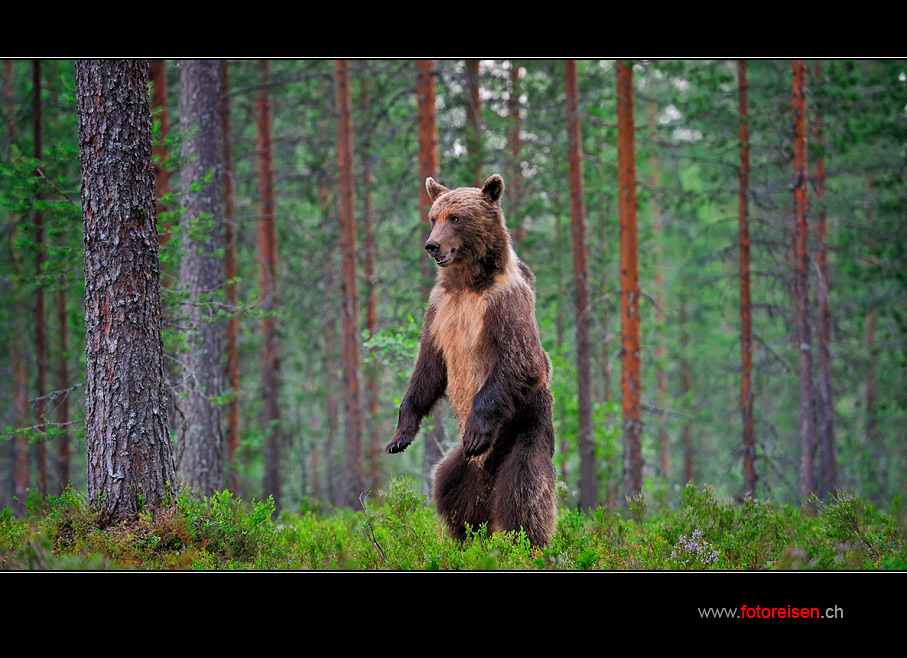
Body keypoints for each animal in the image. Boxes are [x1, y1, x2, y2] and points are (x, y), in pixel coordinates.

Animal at [384, 172, 560, 544]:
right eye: (433, 217)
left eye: (455, 217)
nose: (432, 246)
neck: (468, 284)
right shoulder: (439, 312)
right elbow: (428, 369)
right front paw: (400, 436)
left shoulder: (504, 305)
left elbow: (521, 362)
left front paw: (477, 432)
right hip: (463, 467)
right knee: (451, 490)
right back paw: (467, 536)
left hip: (526, 430)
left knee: (524, 494)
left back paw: (527, 543)